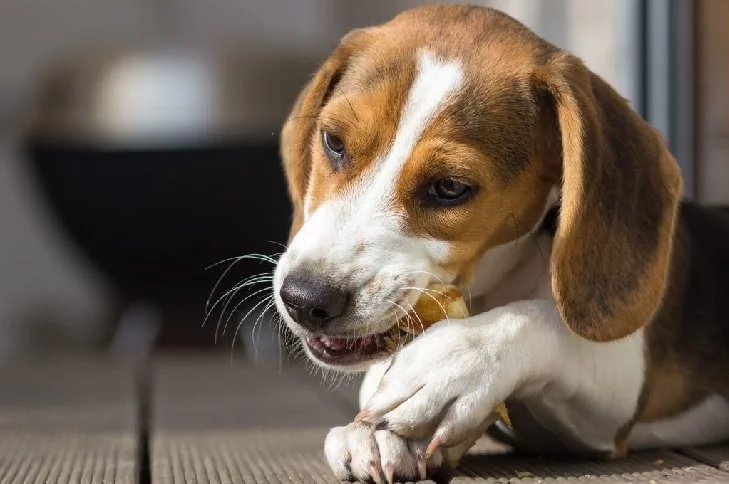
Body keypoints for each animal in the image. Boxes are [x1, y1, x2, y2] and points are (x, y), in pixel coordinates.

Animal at [270, 4, 728, 484]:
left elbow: (544, 322)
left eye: (450, 187)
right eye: (333, 142)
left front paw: (449, 365)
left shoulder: (618, 390)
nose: (305, 298)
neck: (493, 283)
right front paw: (375, 433)